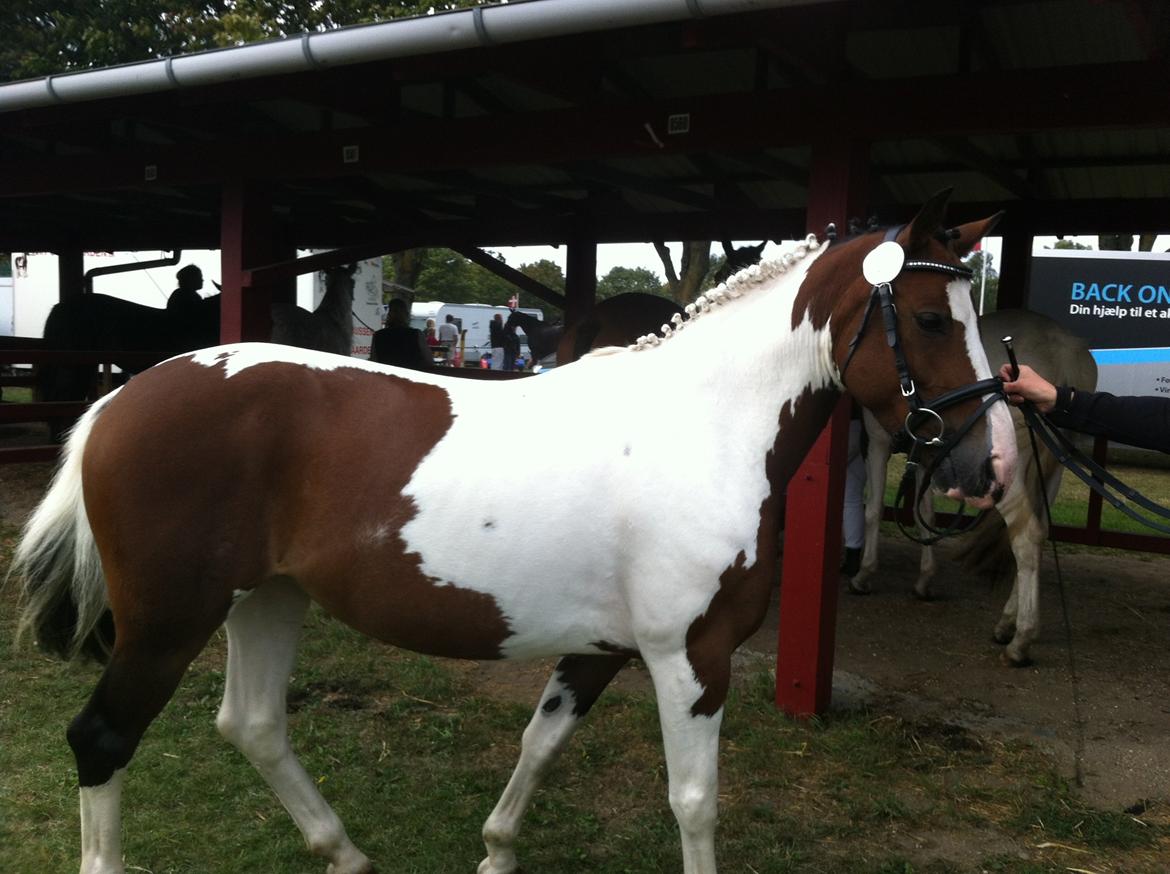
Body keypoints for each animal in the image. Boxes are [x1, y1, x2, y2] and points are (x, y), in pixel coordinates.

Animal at [11, 191, 1015, 874]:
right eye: (931, 318)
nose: (990, 464)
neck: (703, 424)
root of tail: (120, 400)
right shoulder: (692, 657)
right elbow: (695, 802)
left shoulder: (604, 649)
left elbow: (542, 743)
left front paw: (495, 849)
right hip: (168, 619)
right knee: (102, 738)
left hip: (267, 599)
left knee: (252, 725)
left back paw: (346, 853)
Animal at [851, 306, 1095, 664]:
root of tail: (1063, 352)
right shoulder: (929, 453)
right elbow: (924, 513)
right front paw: (925, 580)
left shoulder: (879, 442)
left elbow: (872, 511)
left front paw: (864, 574)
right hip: (1051, 472)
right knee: (1039, 532)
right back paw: (1007, 623)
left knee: (1026, 535)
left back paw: (1020, 640)